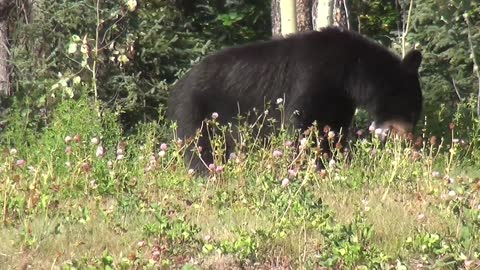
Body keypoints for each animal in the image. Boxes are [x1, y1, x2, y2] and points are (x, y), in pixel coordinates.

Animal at [167, 26, 422, 172]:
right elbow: (302, 123)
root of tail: (179, 84)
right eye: (411, 111)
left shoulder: (339, 99)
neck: (351, 72)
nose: (408, 139)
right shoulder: (313, 77)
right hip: (198, 109)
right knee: (199, 147)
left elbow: (333, 129)